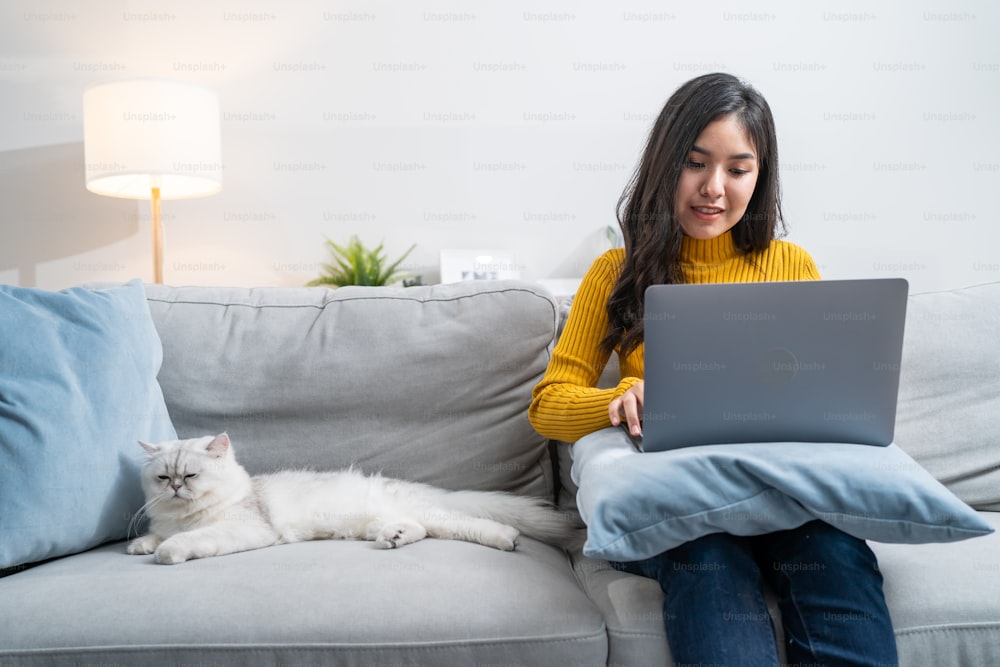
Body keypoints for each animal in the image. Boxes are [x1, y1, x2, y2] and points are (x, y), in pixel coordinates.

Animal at [127, 434, 580, 564]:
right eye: (163, 477)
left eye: (190, 475)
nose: (175, 488)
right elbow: (154, 535)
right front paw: (140, 545)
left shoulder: (245, 527)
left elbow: (188, 541)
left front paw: (166, 552)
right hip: (378, 521)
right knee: (417, 529)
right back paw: (394, 539)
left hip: (435, 515)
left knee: (469, 525)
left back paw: (507, 539)